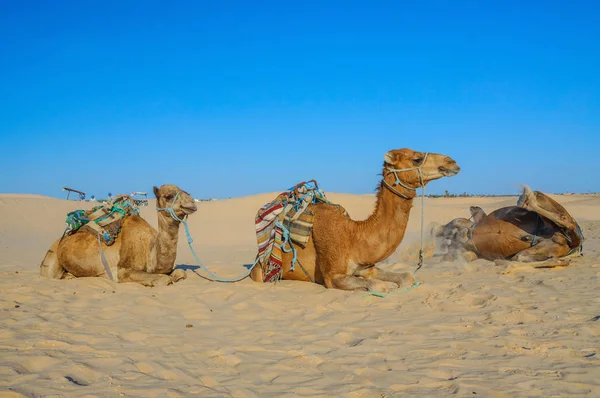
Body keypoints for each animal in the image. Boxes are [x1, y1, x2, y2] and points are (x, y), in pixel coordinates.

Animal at [42, 183, 197, 286]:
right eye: (169, 196)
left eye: (187, 192)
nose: (192, 204)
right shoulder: (120, 270)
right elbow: (164, 279)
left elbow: (181, 273)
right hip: (52, 257)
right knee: (51, 274)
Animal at [248, 148, 460, 294]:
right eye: (416, 158)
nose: (452, 162)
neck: (354, 235)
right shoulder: (333, 276)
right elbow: (379, 286)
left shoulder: (366, 268)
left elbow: (406, 277)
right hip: (259, 273)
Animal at [434, 186, 584, 266]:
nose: (463, 234)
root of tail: (575, 242)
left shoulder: (463, 225)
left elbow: (454, 223)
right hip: (547, 246)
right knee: (525, 257)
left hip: (560, 223)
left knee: (567, 221)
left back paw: (526, 198)